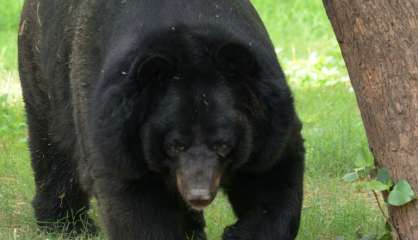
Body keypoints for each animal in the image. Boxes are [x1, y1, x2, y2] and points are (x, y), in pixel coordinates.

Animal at [18, 0, 304, 240]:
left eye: (223, 145)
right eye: (174, 145)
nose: (198, 195)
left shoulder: (270, 118)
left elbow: (272, 174)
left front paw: (239, 233)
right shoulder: (114, 124)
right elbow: (132, 199)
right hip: (44, 72)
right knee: (53, 148)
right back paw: (65, 224)